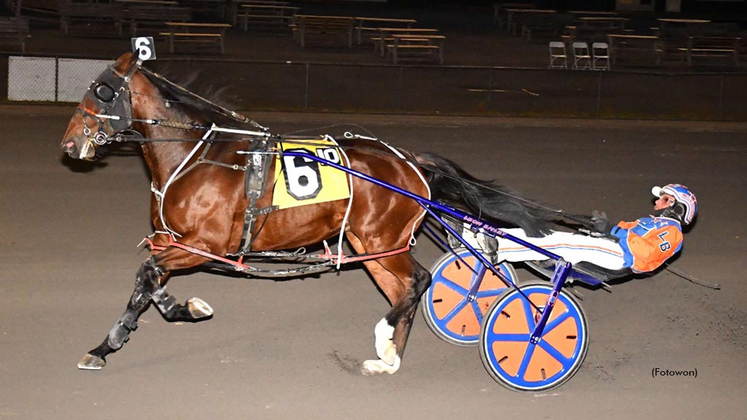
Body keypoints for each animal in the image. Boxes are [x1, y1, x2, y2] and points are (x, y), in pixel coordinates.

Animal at [61, 50, 568, 376]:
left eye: (101, 91)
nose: (68, 145)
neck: (196, 155)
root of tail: (407, 159)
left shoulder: (205, 244)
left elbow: (147, 275)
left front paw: (143, 327)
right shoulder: (173, 240)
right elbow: (148, 281)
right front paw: (119, 338)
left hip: (383, 239)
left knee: (419, 281)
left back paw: (387, 337)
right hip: (370, 246)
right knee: (402, 287)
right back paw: (389, 358)